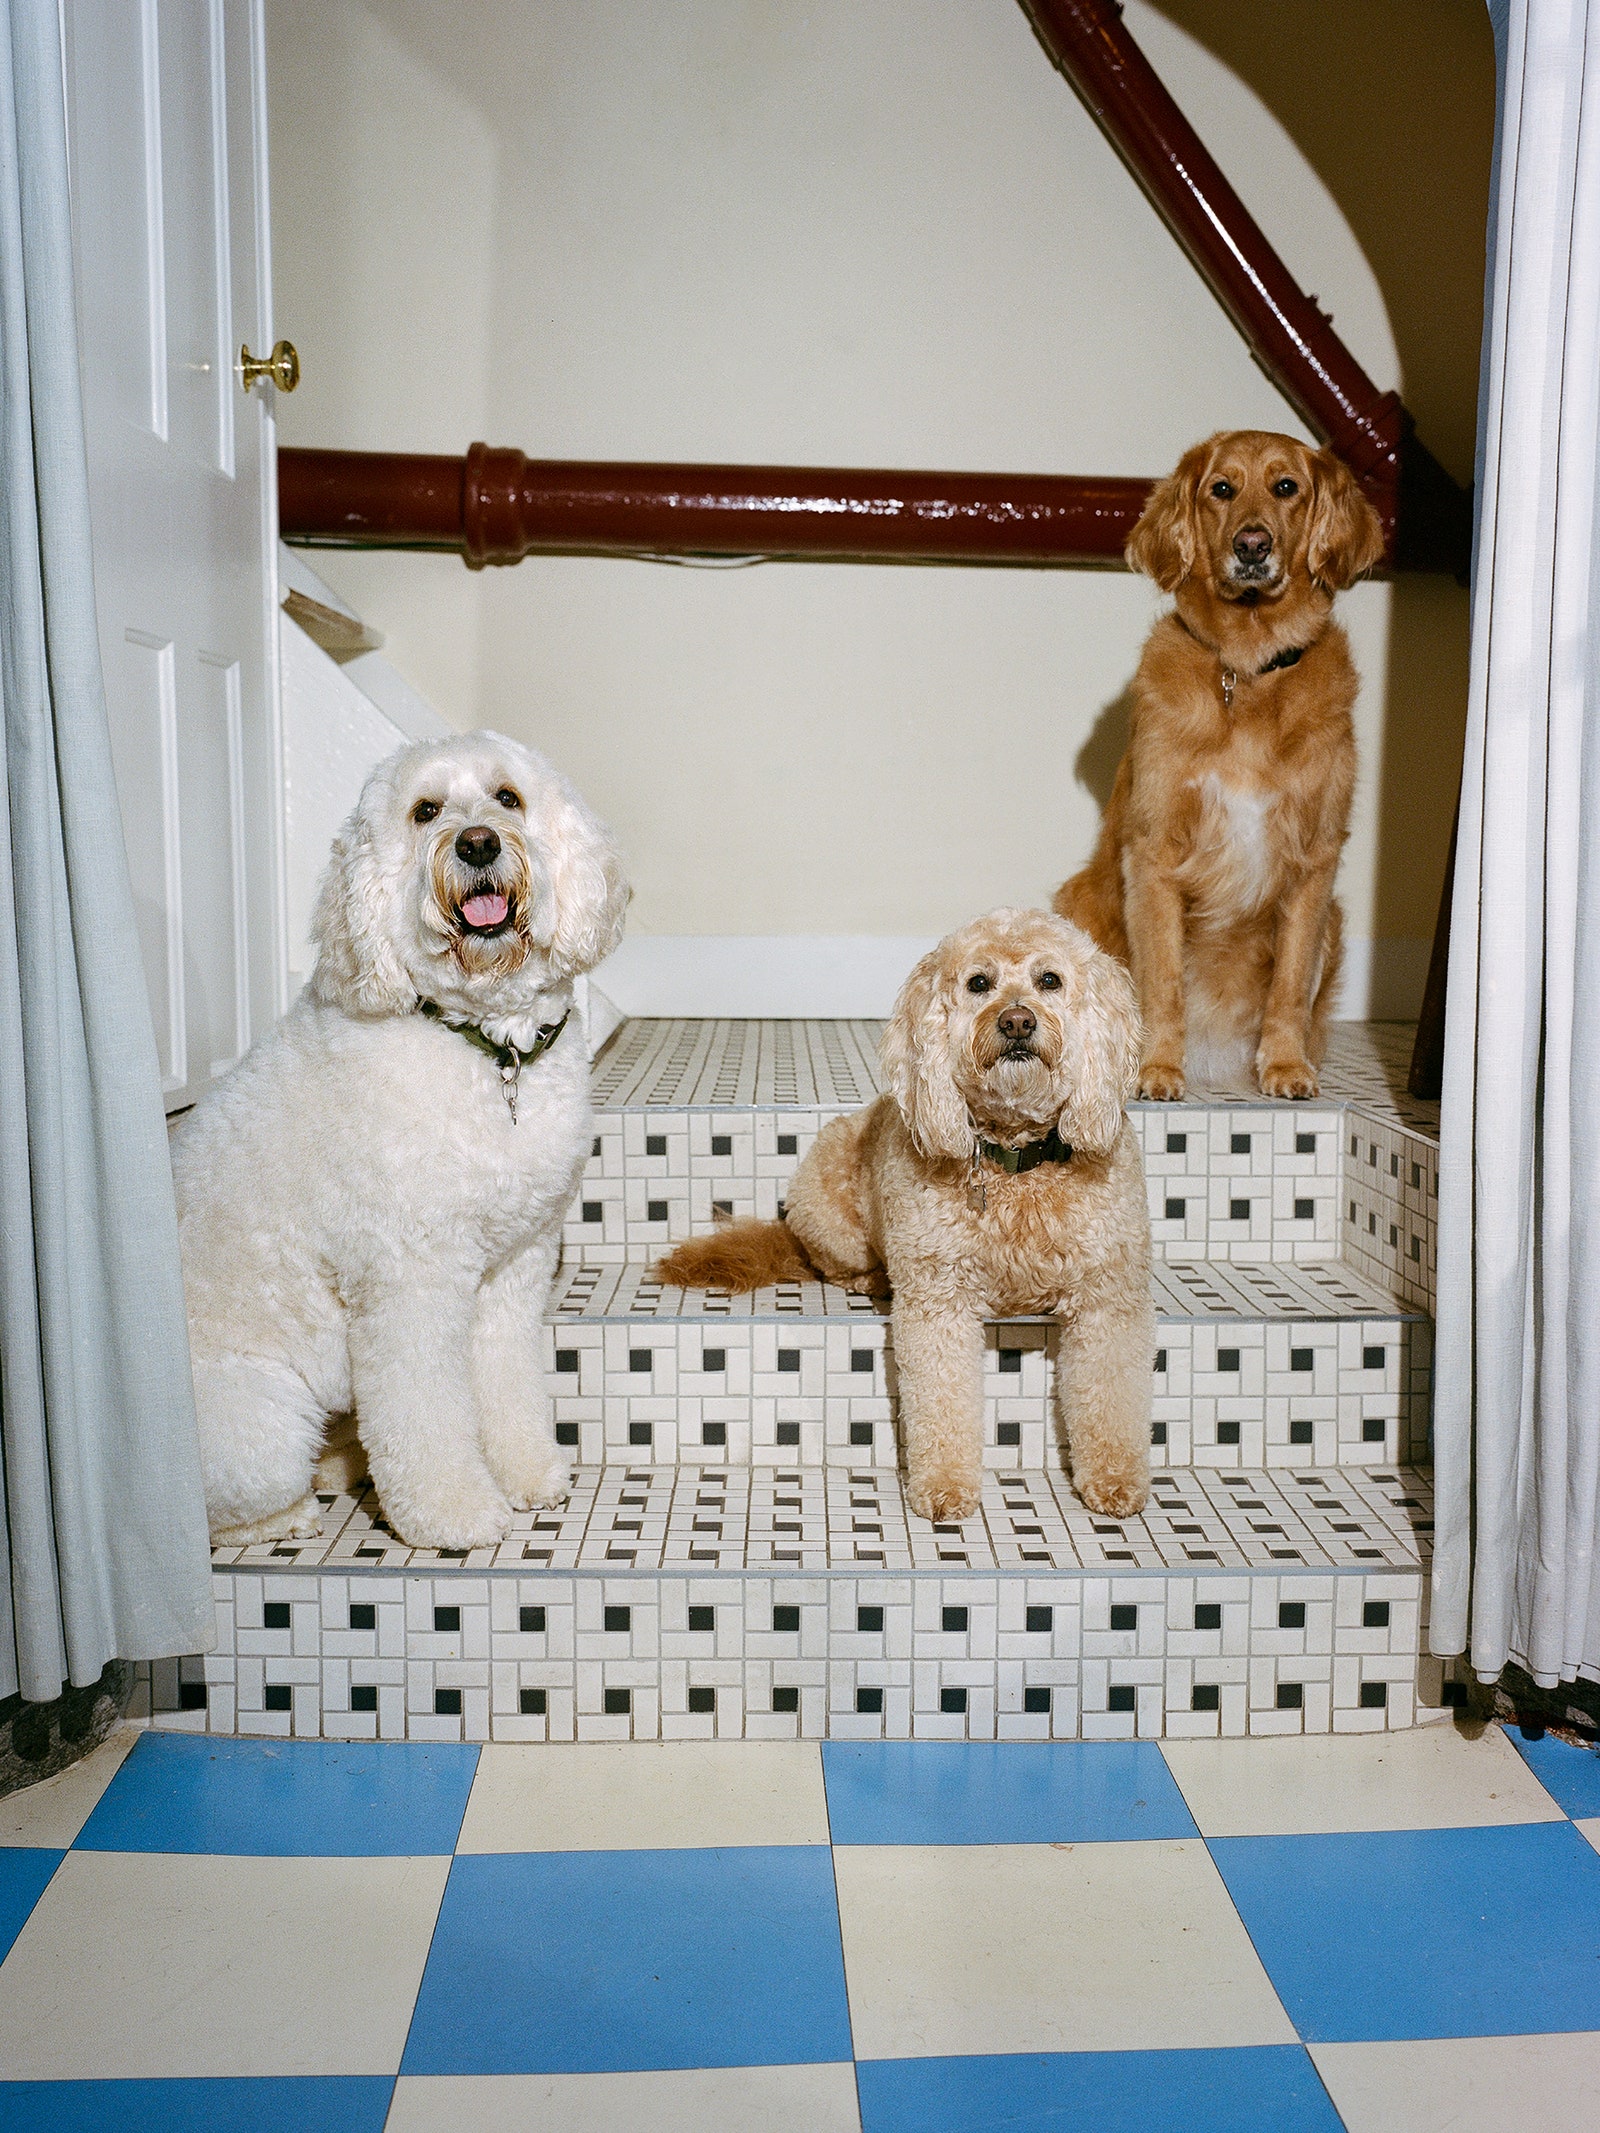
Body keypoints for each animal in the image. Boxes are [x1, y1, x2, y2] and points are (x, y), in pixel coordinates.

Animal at [169, 733, 631, 1552]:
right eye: (425, 811)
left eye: (507, 797)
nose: (476, 843)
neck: (486, 1048)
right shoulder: (409, 1282)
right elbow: (425, 1411)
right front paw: (457, 1512)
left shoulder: (512, 1270)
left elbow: (505, 1384)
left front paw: (525, 1472)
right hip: (259, 1421)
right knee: (224, 1512)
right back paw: (298, 1505)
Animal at [657, 908, 1160, 1527]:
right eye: (979, 983)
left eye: (1050, 980)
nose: (1017, 1022)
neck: (1015, 1160)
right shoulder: (938, 1302)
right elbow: (940, 1401)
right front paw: (943, 1487)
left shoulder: (1108, 1299)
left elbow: (1112, 1398)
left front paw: (1116, 1481)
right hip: (825, 1203)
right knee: (832, 1264)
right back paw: (873, 1278)